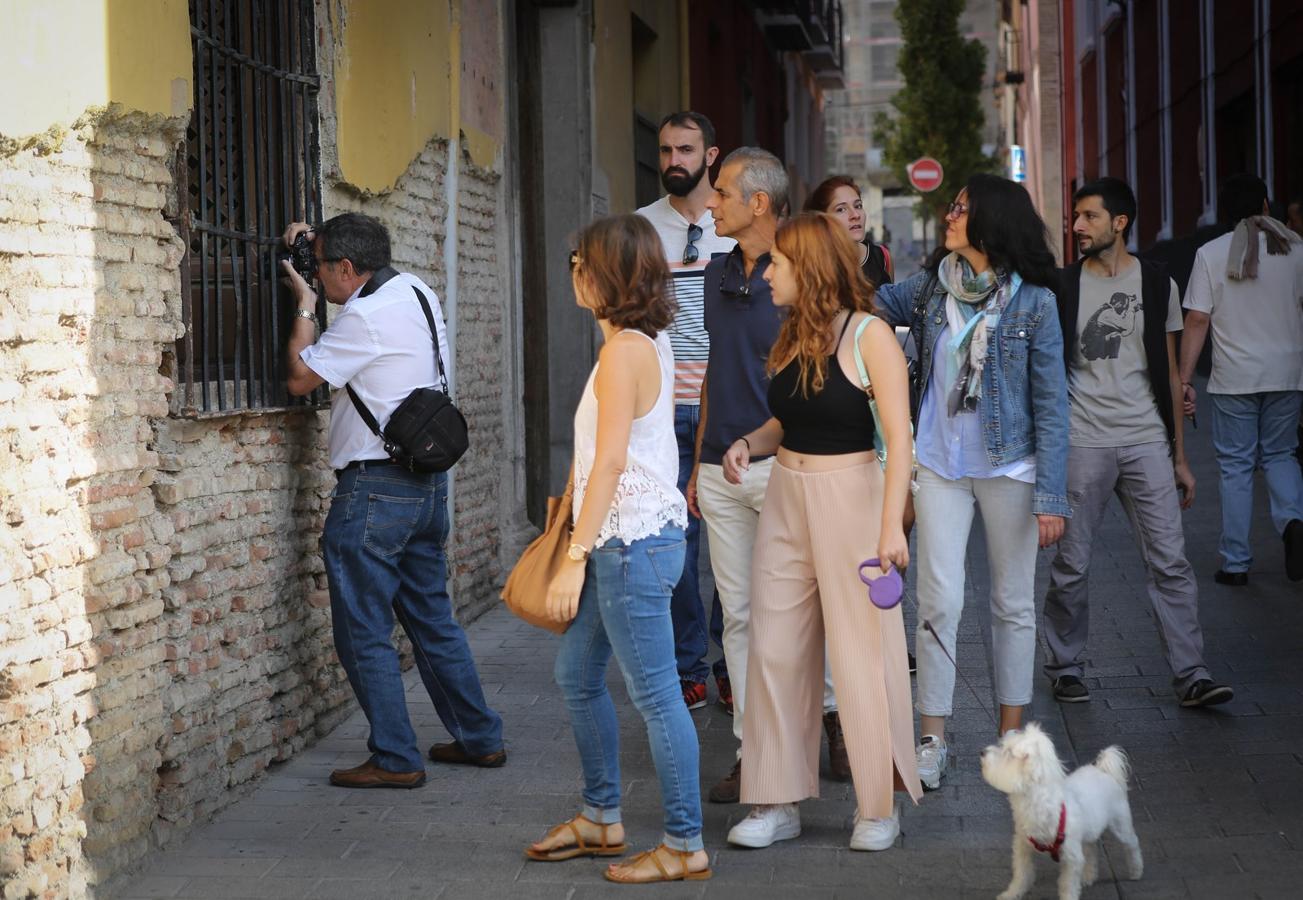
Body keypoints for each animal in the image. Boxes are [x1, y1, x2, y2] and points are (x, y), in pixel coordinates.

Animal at [979, 724, 1146, 900]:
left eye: (1009, 753)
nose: (982, 752)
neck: (1036, 802)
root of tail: (1104, 770)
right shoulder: (1022, 845)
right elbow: (1021, 874)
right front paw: (1012, 894)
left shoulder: (1071, 857)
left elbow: (1068, 884)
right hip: (1089, 831)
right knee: (1091, 850)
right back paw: (1088, 876)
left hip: (1120, 824)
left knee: (1132, 844)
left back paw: (1136, 870)